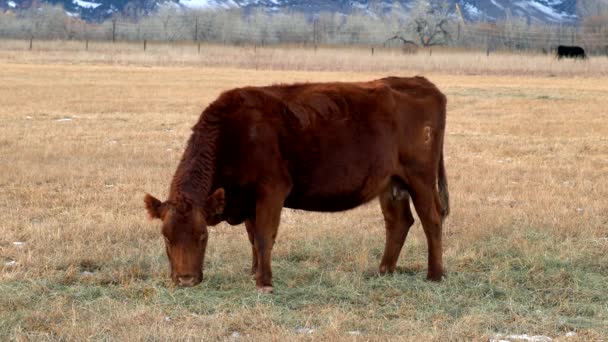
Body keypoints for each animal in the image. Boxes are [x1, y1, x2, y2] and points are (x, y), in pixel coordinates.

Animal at [145, 76, 448, 292]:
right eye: (166, 237)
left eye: (203, 236)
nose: (185, 280)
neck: (236, 133)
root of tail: (421, 82)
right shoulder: (248, 199)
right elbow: (253, 237)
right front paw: (254, 272)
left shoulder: (271, 189)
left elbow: (264, 236)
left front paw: (264, 282)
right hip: (391, 184)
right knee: (398, 222)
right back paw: (384, 271)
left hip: (420, 178)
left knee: (431, 220)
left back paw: (434, 275)